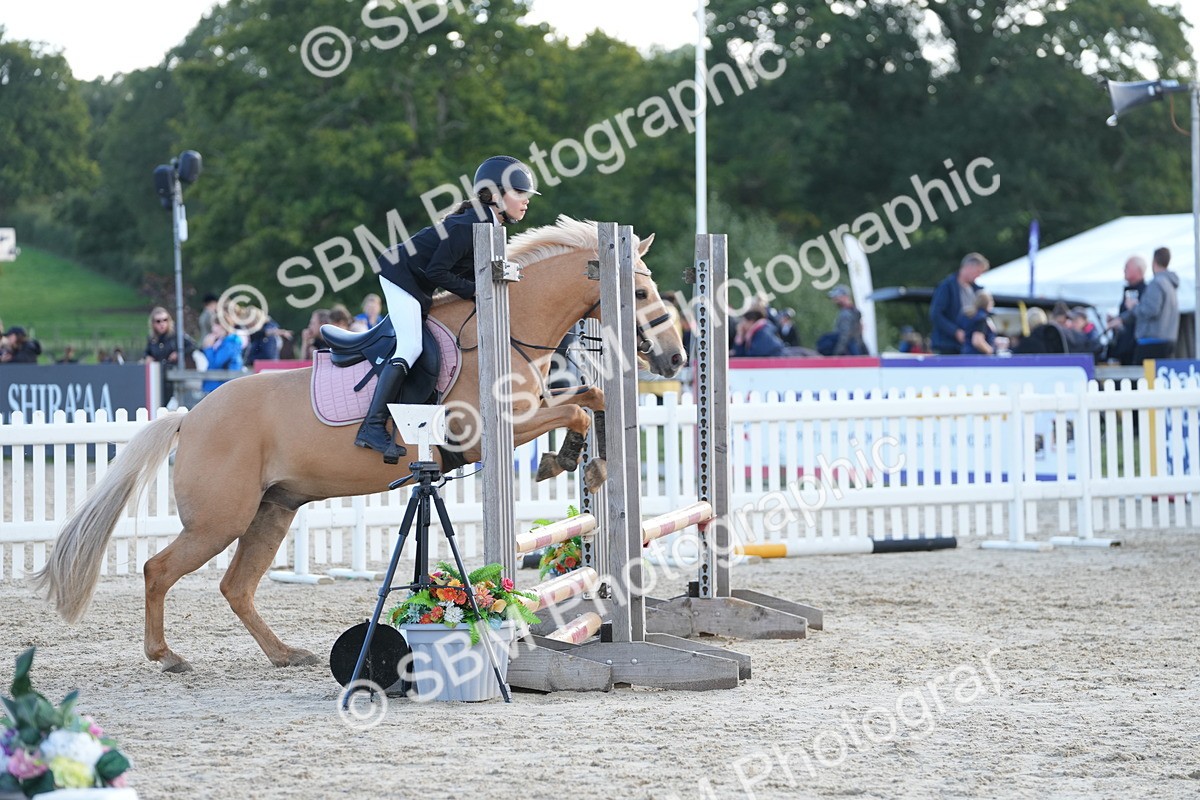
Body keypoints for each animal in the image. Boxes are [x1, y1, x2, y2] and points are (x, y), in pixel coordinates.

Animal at [34, 216, 685, 673]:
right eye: (641, 293)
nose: (676, 357)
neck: (505, 324)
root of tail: (189, 416)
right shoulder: (487, 431)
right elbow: (575, 408)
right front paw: (578, 465)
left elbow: (588, 401)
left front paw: (575, 462)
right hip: (220, 520)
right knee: (157, 569)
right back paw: (166, 656)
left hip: (272, 511)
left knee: (235, 586)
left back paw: (285, 654)